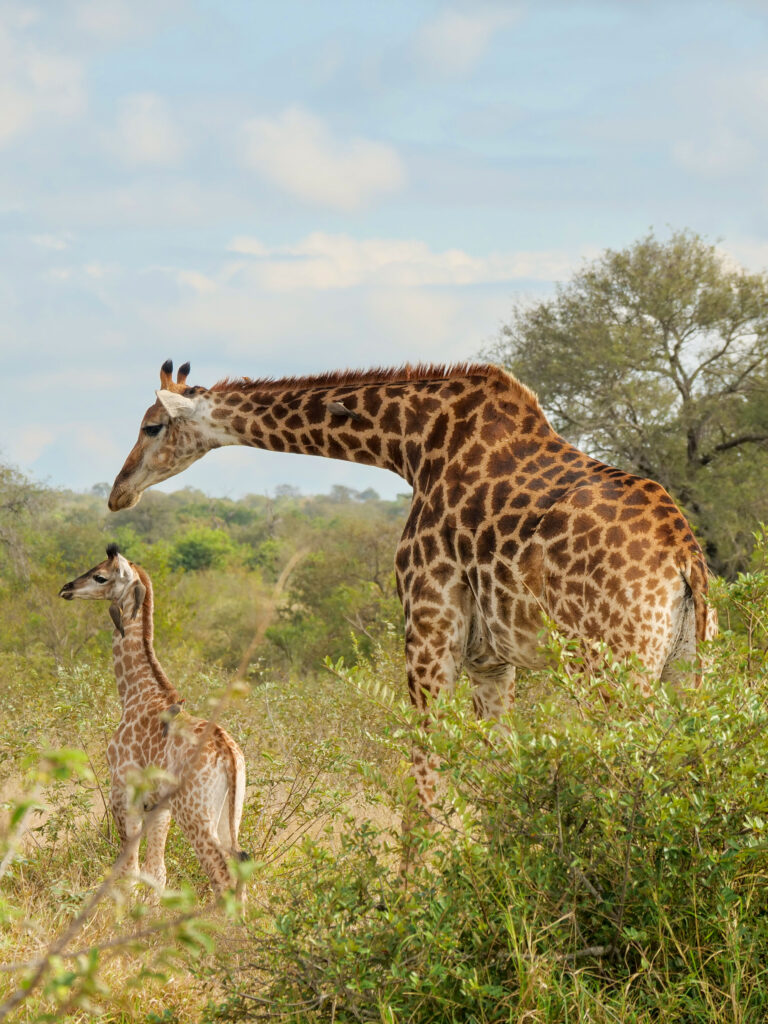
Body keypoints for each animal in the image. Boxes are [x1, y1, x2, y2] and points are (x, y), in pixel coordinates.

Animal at [59, 543, 248, 898]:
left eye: (100, 576)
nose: (67, 588)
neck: (136, 693)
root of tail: (229, 755)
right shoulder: (158, 808)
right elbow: (156, 873)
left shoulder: (123, 793)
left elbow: (129, 871)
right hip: (230, 813)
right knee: (239, 869)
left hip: (195, 813)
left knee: (221, 877)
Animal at [108, 360, 714, 815]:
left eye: (152, 426)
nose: (118, 491)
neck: (411, 443)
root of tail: (685, 559)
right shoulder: (491, 659)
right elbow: (496, 770)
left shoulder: (428, 625)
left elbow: (425, 779)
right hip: (688, 669)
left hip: (611, 669)